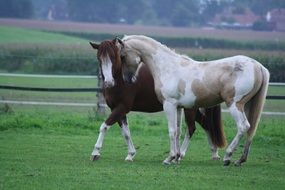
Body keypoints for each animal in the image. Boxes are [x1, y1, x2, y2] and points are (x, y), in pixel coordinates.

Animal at [89, 38, 224, 162]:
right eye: (99, 58)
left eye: (114, 57)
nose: (108, 82)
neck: (120, 81)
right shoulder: (117, 109)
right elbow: (126, 133)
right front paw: (130, 154)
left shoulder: (122, 108)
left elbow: (104, 126)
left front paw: (95, 152)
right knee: (206, 125)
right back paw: (213, 152)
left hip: (190, 109)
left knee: (192, 128)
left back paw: (182, 154)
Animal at [116, 35, 268, 166]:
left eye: (122, 56)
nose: (127, 79)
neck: (168, 67)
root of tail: (258, 66)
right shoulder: (178, 107)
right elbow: (178, 132)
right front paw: (176, 157)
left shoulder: (169, 105)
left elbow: (171, 131)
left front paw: (169, 158)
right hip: (247, 105)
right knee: (251, 129)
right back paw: (240, 160)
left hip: (235, 104)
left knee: (243, 126)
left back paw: (227, 156)